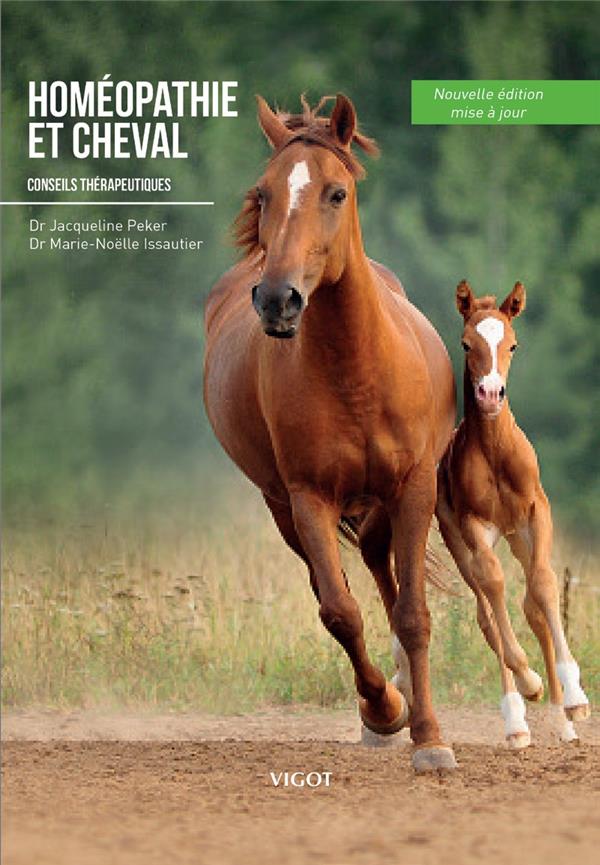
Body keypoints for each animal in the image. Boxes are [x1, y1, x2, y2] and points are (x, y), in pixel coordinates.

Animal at [204, 94, 457, 772]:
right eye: (263, 193)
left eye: (336, 192)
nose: (278, 299)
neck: (355, 370)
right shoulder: (309, 498)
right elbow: (340, 612)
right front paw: (384, 713)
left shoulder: (413, 486)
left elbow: (413, 613)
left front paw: (430, 738)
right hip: (284, 509)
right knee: (341, 584)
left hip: (382, 502)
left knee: (383, 571)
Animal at [436, 280, 591, 748]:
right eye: (466, 344)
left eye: (513, 345)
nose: (489, 395)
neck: (495, 452)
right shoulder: (474, 526)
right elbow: (493, 587)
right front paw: (529, 684)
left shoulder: (536, 512)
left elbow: (542, 587)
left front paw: (575, 698)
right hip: (459, 541)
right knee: (488, 612)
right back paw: (518, 721)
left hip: (518, 536)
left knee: (530, 606)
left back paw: (562, 720)